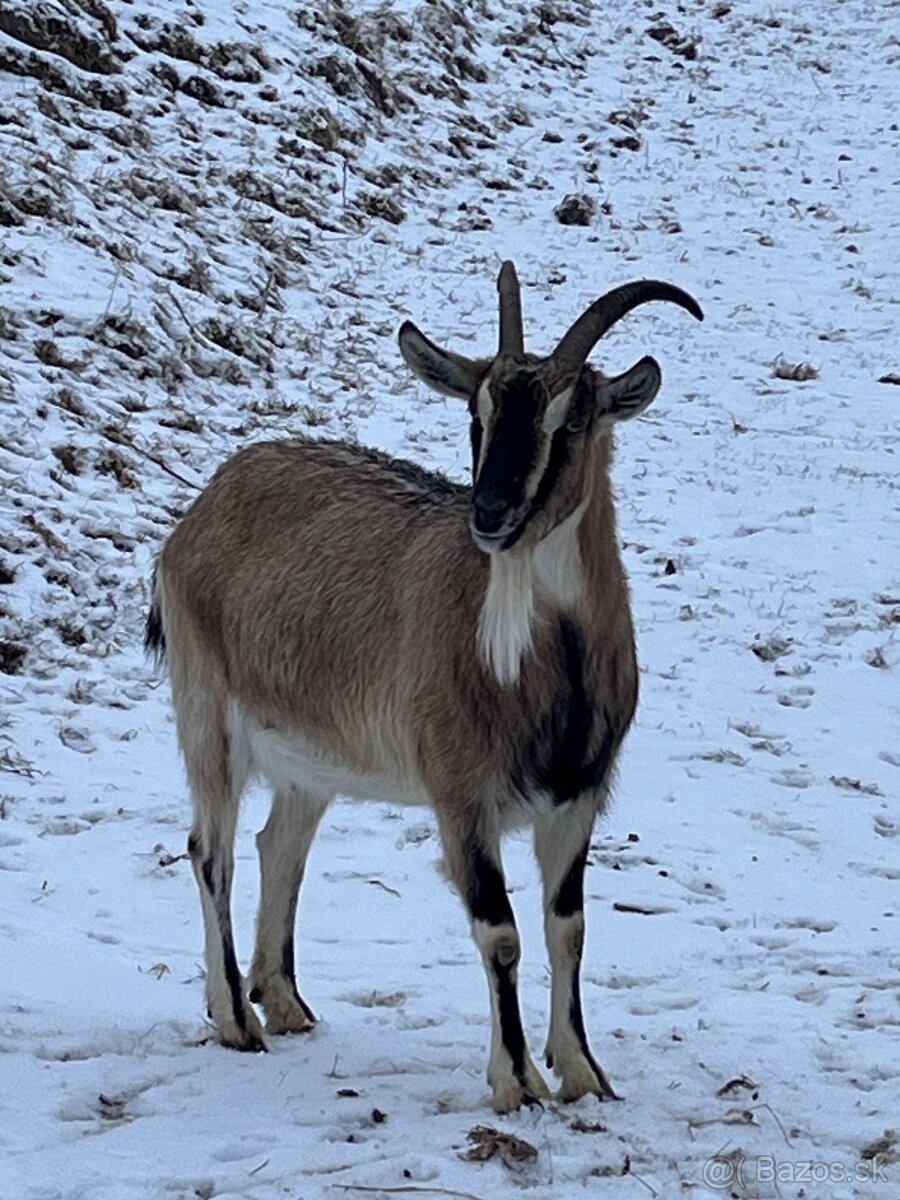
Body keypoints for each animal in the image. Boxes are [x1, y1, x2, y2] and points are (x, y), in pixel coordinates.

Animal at [146, 265, 705, 1113]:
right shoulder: (461, 795)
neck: (546, 667)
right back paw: (234, 1019)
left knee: (281, 845)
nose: (492, 514)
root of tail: (205, 504)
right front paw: (517, 1081)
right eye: (477, 413)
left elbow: (567, 927)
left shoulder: (578, 796)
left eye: (571, 420)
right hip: (207, 710)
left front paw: (584, 1073)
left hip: (310, 757)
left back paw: (283, 1002)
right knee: (211, 850)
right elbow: (501, 933)